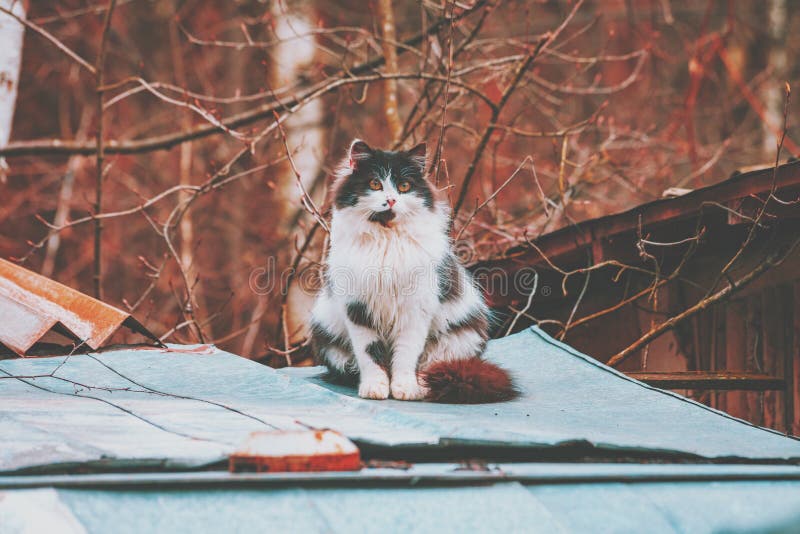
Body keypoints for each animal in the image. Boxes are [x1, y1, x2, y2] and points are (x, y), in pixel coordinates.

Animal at [310, 140, 516, 404]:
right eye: (375, 184)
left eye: (404, 186)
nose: (391, 200)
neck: (386, 241)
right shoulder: (358, 309)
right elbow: (370, 356)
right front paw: (375, 388)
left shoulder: (415, 311)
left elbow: (405, 357)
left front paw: (404, 389)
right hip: (328, 338)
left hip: (458, 341)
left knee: (436, 371)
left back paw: (423, 387)